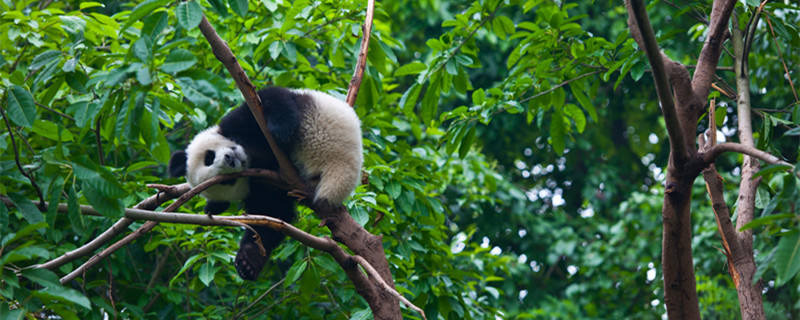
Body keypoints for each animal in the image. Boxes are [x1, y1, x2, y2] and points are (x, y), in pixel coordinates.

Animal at [172, 86, 366, 278]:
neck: (252, 155)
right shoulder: (262, 187)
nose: (230, 159)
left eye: (209, 157)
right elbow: (272, 215)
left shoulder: (239, 122)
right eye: (227, 181)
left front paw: (282, 129)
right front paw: (248, 261)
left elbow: (269, 98)